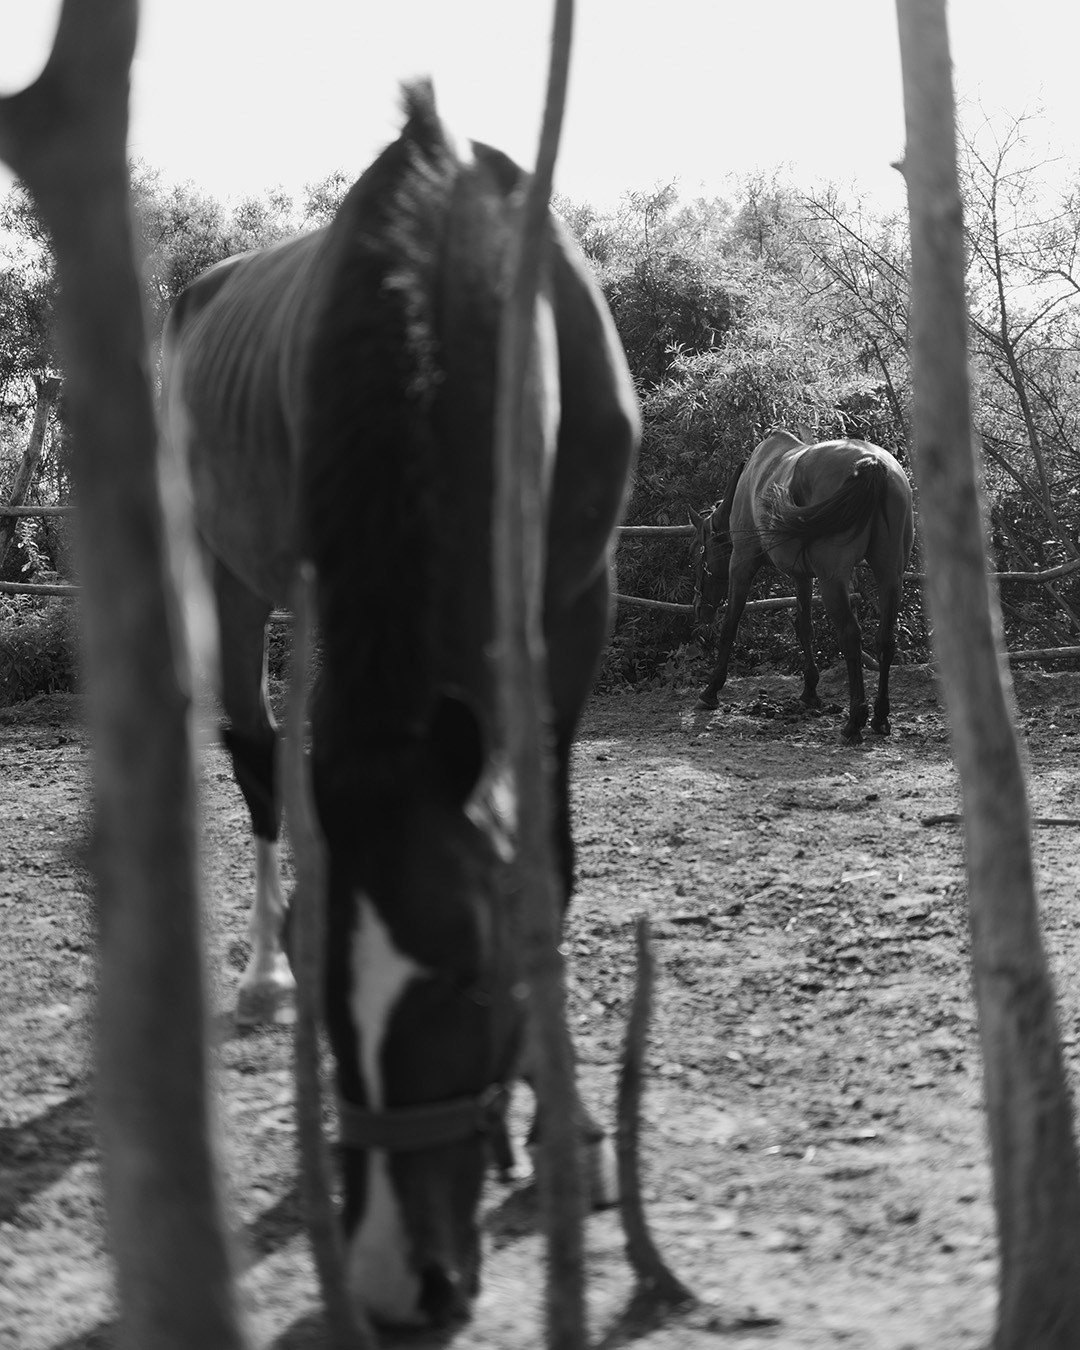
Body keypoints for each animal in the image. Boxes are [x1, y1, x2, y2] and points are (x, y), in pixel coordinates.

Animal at [161, 83, 638, 1328]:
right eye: (333, 993)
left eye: (475, 977)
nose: (397, 1284)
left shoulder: (577, 608)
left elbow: (548, 857)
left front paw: (564, 1129)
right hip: (231, 581)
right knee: (259, 766)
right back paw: (252, 983)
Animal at [690, 430, 914, 742]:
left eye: (699, 554)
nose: (700, 608)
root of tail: (873, 463)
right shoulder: (802, 576)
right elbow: (804, 627)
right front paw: (810, 690)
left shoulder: (741, 565)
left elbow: (730, 626)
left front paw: (711, 690)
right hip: (890, 575)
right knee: (885, 640)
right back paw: (880, 716)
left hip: (834, 580)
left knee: (850, 635)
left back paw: (854, 721)